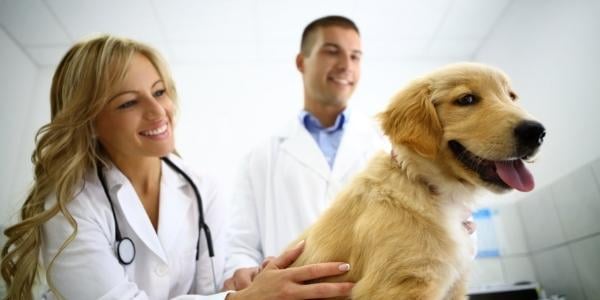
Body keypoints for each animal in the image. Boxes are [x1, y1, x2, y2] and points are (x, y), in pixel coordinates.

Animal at [288, 62, 548, 298]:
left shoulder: (456, 285)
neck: (426, 185)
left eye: (512, 97)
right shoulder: (401, 285)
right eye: (466, 100)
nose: (537, 132)